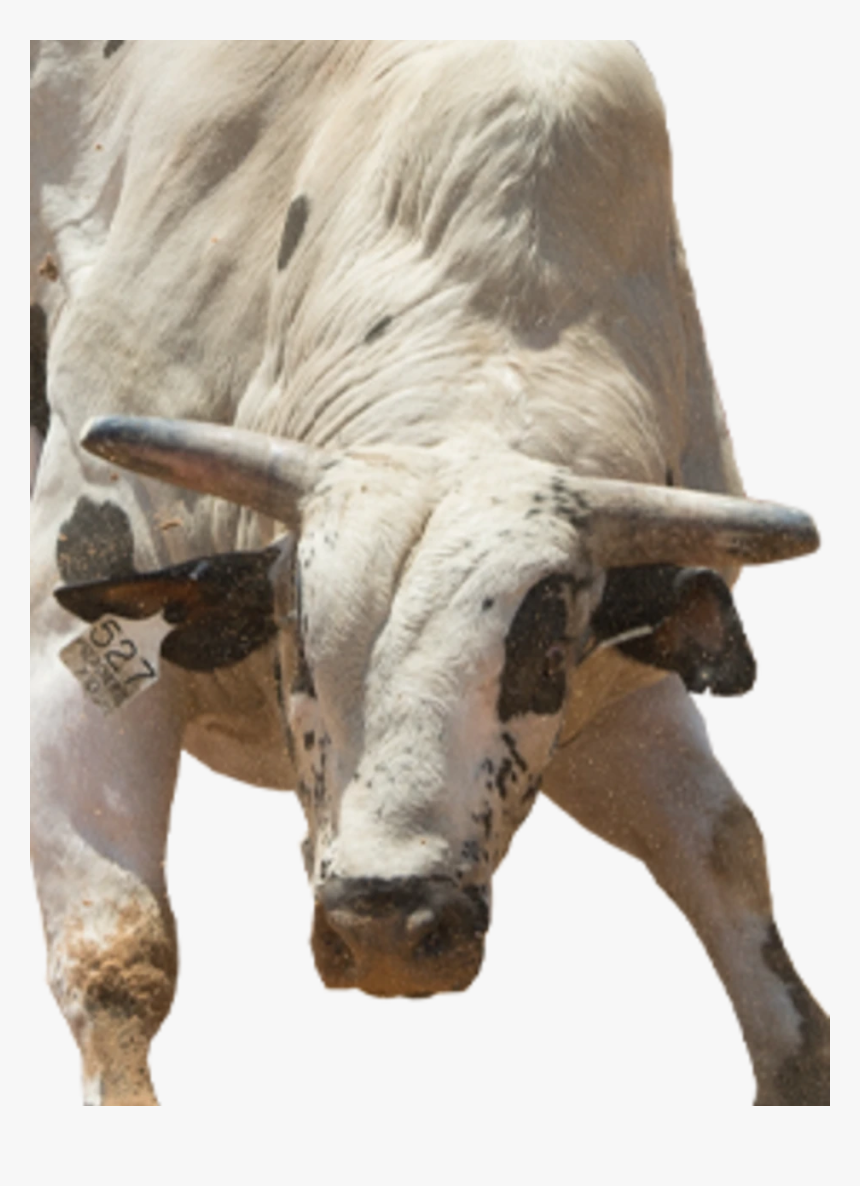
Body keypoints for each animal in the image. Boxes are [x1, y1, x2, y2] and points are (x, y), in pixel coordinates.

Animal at [30, 40, 829, 1106]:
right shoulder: (76, 643)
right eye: (298, 639)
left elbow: (756, 924)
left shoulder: (625, 696)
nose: (387, 928)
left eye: (544, 653)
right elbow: (119, 957)